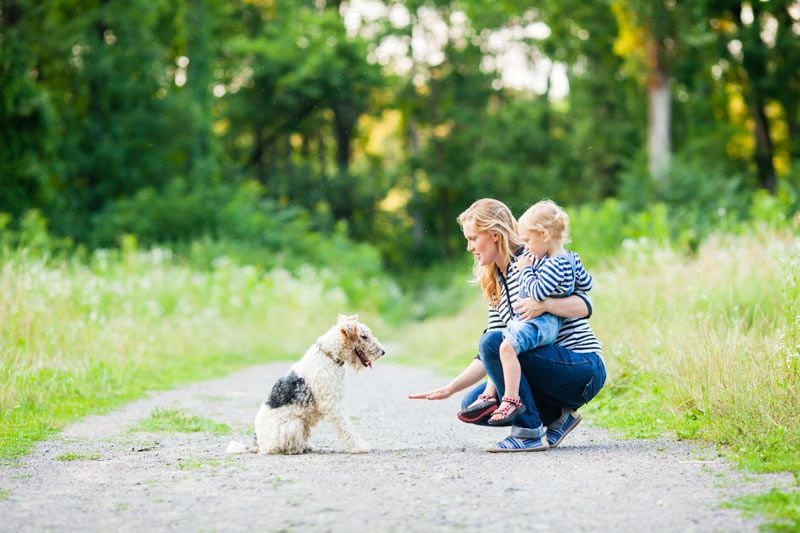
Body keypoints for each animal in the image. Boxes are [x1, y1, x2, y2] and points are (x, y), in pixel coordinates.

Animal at [227, 314, 386, 456]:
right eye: (364, 336)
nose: (383, 352)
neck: (329, 355)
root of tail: (257, 444)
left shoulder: (336, 400)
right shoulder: (332, 404)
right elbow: (346, 427)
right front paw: (359, 447)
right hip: (293, 424)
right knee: (276, 449)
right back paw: (296, 450)